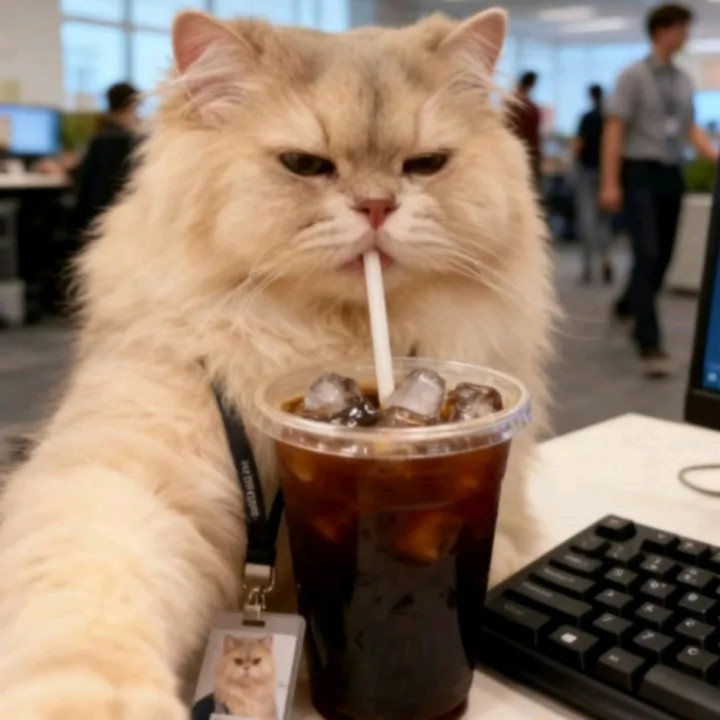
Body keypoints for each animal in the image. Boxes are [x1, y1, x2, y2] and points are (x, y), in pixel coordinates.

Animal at [0, 7, 554, 719]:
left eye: (426, 165)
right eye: (304, 165)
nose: (378, 207)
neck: (332, 333)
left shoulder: (502, 522)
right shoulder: (127, 478)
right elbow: (88, 619)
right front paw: (99, 706)